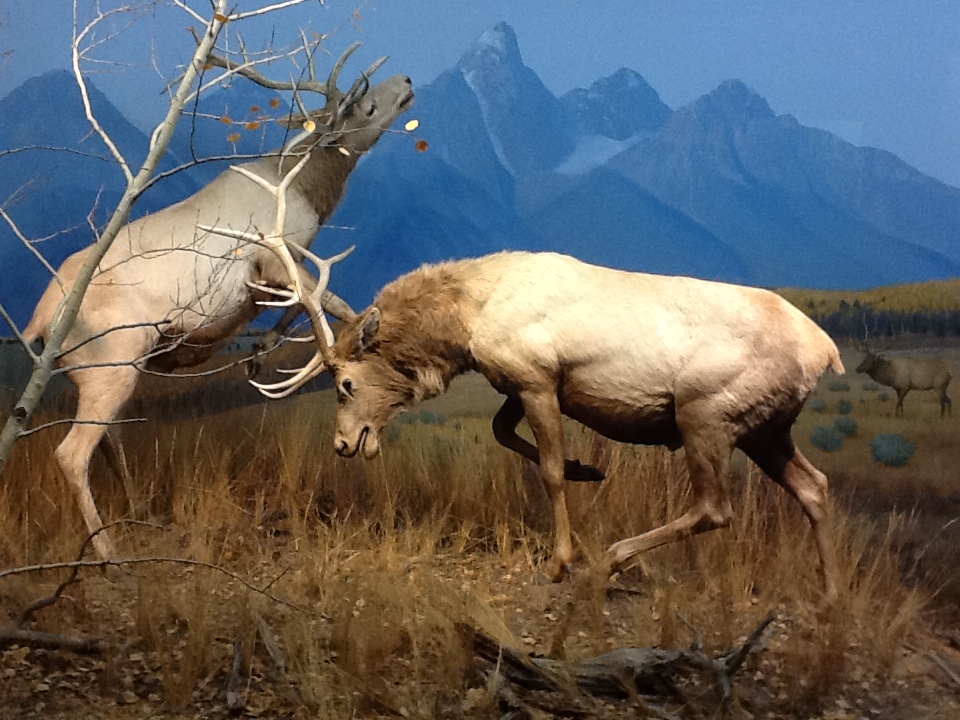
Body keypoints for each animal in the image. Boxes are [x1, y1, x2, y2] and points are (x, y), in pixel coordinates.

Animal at [21, 43, 414, 559]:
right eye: (365, 106)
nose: (406, 80)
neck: (305, 189)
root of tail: (38, 325)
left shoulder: (278, 274)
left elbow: (303, 307)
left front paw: (261, 351)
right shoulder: (273, 255)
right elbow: (336, 305)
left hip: (92, 376)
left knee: (109, 439)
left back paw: (137, 514)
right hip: (115, 365)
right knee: (71, 453)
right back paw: (108, 554)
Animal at [257, 251, 846, 602]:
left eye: (345, 383)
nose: (342, 443)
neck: (466, 324)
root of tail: (826, 353)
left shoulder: (537, 376)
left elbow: (548, 472)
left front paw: (561, 561)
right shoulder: (518, 382)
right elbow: (504, 433)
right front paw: (587, 467)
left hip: (705, 413)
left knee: (716, 507)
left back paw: (611, 559)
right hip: (768, 430)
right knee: (814, 486)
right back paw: (830, 593)